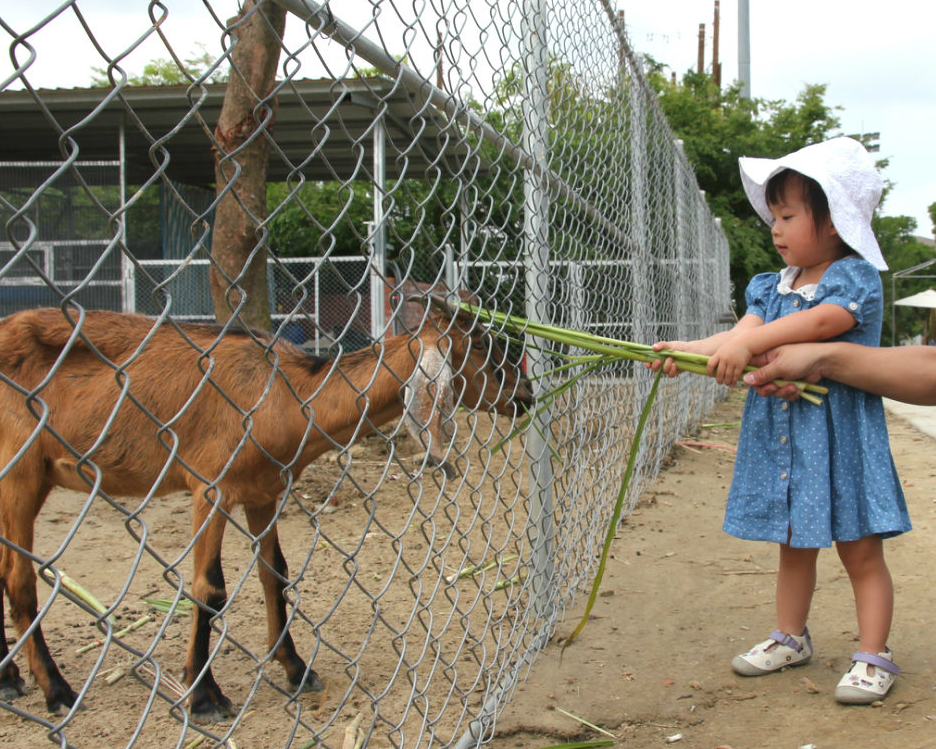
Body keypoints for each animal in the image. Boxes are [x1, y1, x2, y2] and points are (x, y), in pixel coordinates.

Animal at [0, 300, 532, 720]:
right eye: (482, 346)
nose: (526, 395)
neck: (282, 394)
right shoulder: (211, 488)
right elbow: (209, 589)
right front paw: (205, 697)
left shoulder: (263, 492)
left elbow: (275, 573)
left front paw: (297, 669)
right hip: (18, 469)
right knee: (20, 578)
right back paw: (58, 690)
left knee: (5, 571)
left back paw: (10, 679)